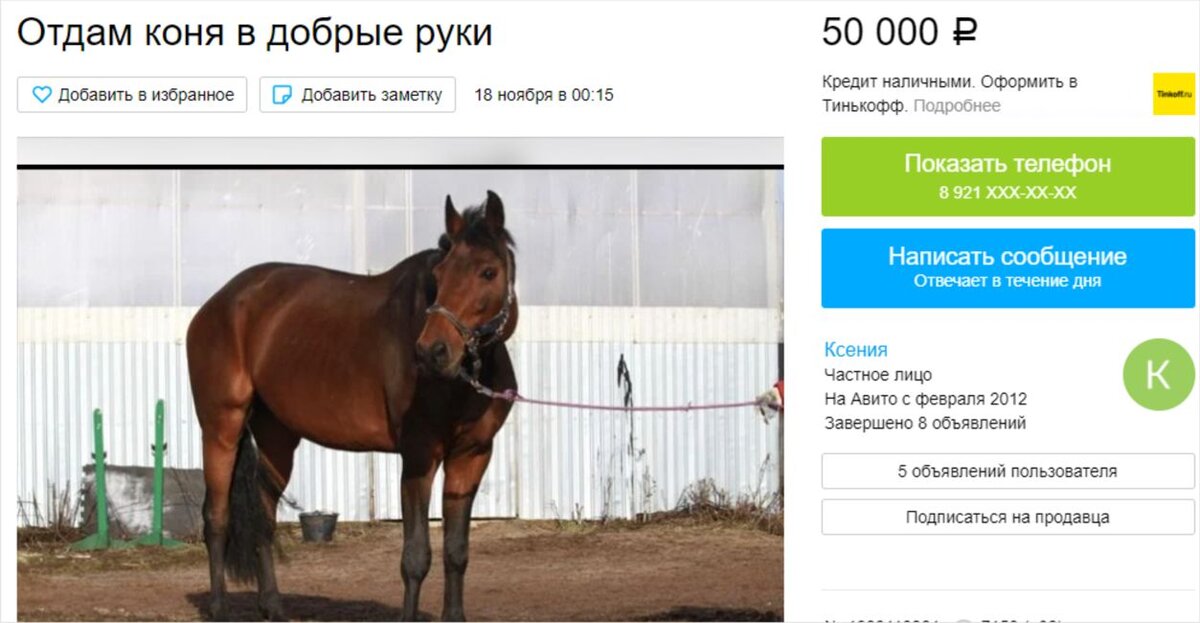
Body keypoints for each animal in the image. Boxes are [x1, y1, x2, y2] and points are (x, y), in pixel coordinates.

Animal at [186, 190, 518, 621]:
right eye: (440, 275)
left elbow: (456, 552)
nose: (432, 352)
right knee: (217, 518)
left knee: (263, 519)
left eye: (488, 272)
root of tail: (220, 302)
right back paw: (220, 607)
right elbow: (416, 557)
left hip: (277, 438)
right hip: (221, 428)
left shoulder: (472, 456)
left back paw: (273, 606)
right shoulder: (419, 457)